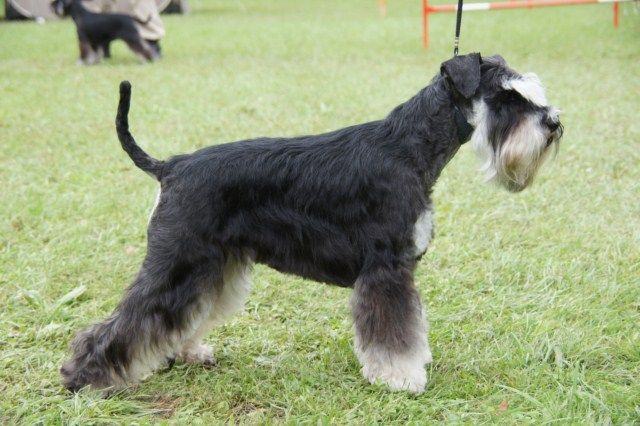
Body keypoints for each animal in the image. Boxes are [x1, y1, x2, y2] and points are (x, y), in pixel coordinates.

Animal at [60, 54, 560, 396]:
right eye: (507, 97)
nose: (554, 123)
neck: (410, 147)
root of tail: (170, 167)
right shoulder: (386, 270)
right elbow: (394, 332)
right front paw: (400, 377)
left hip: (212, 265)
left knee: (185, 312)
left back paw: (185, 352)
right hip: (178, 261)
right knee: (126, 322)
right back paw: (83, 376)